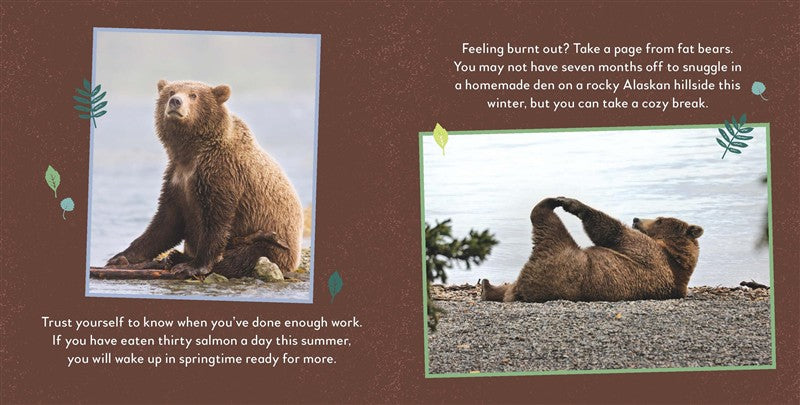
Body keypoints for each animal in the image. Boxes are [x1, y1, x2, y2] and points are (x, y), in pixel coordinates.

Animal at [105, 80, 304, 278]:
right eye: (171, 91)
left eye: (193, 95)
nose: (175, 101)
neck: (191, 153)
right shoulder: (176, 178)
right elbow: (166, 222)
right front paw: (121, 257)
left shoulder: (221, 173)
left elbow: (216, 221)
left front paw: (194, 265)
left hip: (277, 244)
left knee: (249, 253)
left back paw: (179, 260)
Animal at [481, 197, 703, 302]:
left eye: (659, 219)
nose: (636, 219)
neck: (676, 258)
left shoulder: (650, 253)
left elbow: (613, 232)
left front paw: (573, 204)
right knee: (507, 287)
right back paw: (487, 287)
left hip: (558, 259)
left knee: (546, 224)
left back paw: (550, 203)